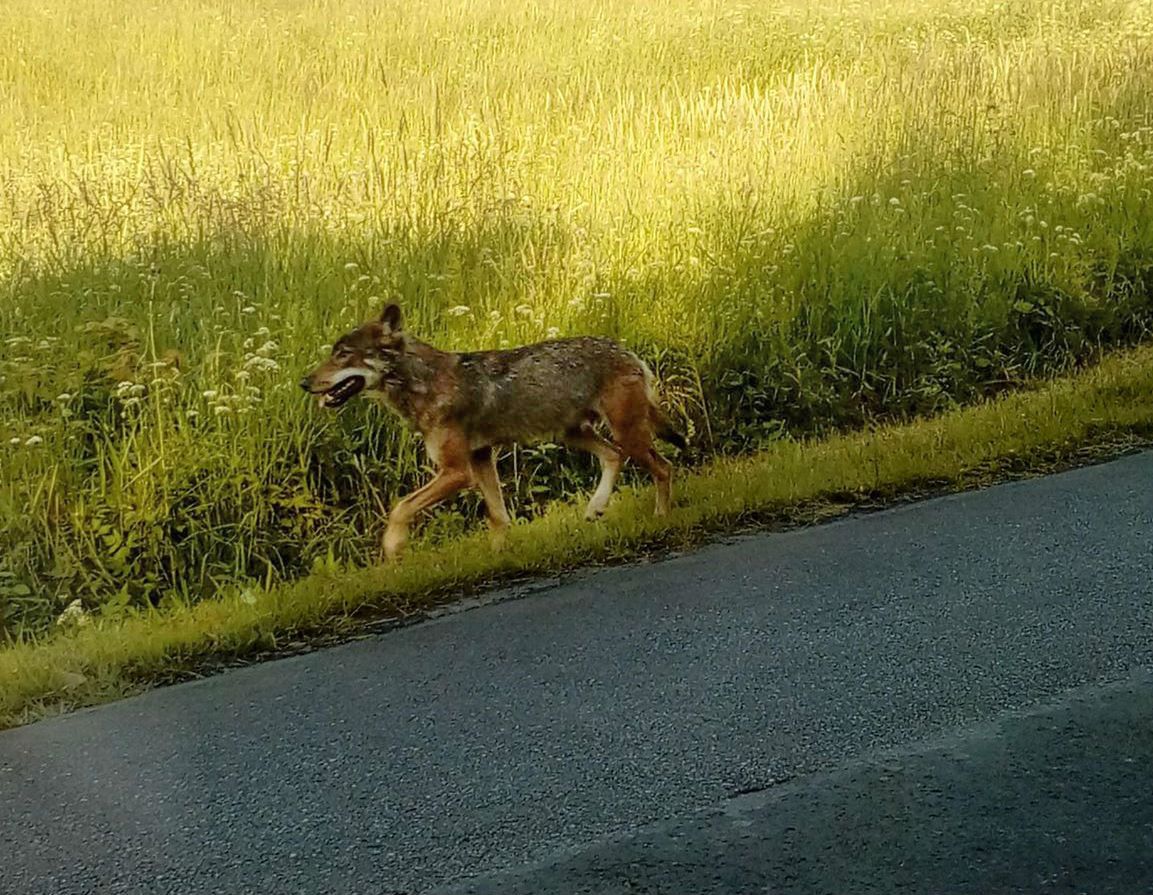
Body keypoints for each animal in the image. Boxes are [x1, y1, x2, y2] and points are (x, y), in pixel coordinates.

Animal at [302, 306, 687, 558]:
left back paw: (661, 517)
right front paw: (500, 558)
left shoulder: (457, 472)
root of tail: (628, 351)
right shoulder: (480, 459)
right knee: (614, 456)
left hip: (625, 435)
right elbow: (498, 518)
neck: (424, 384)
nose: (304, 383)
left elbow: (400, 507)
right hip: (575, 434)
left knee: (663, 467)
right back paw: (596, 508)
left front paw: (393, 549)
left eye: (343, 355)